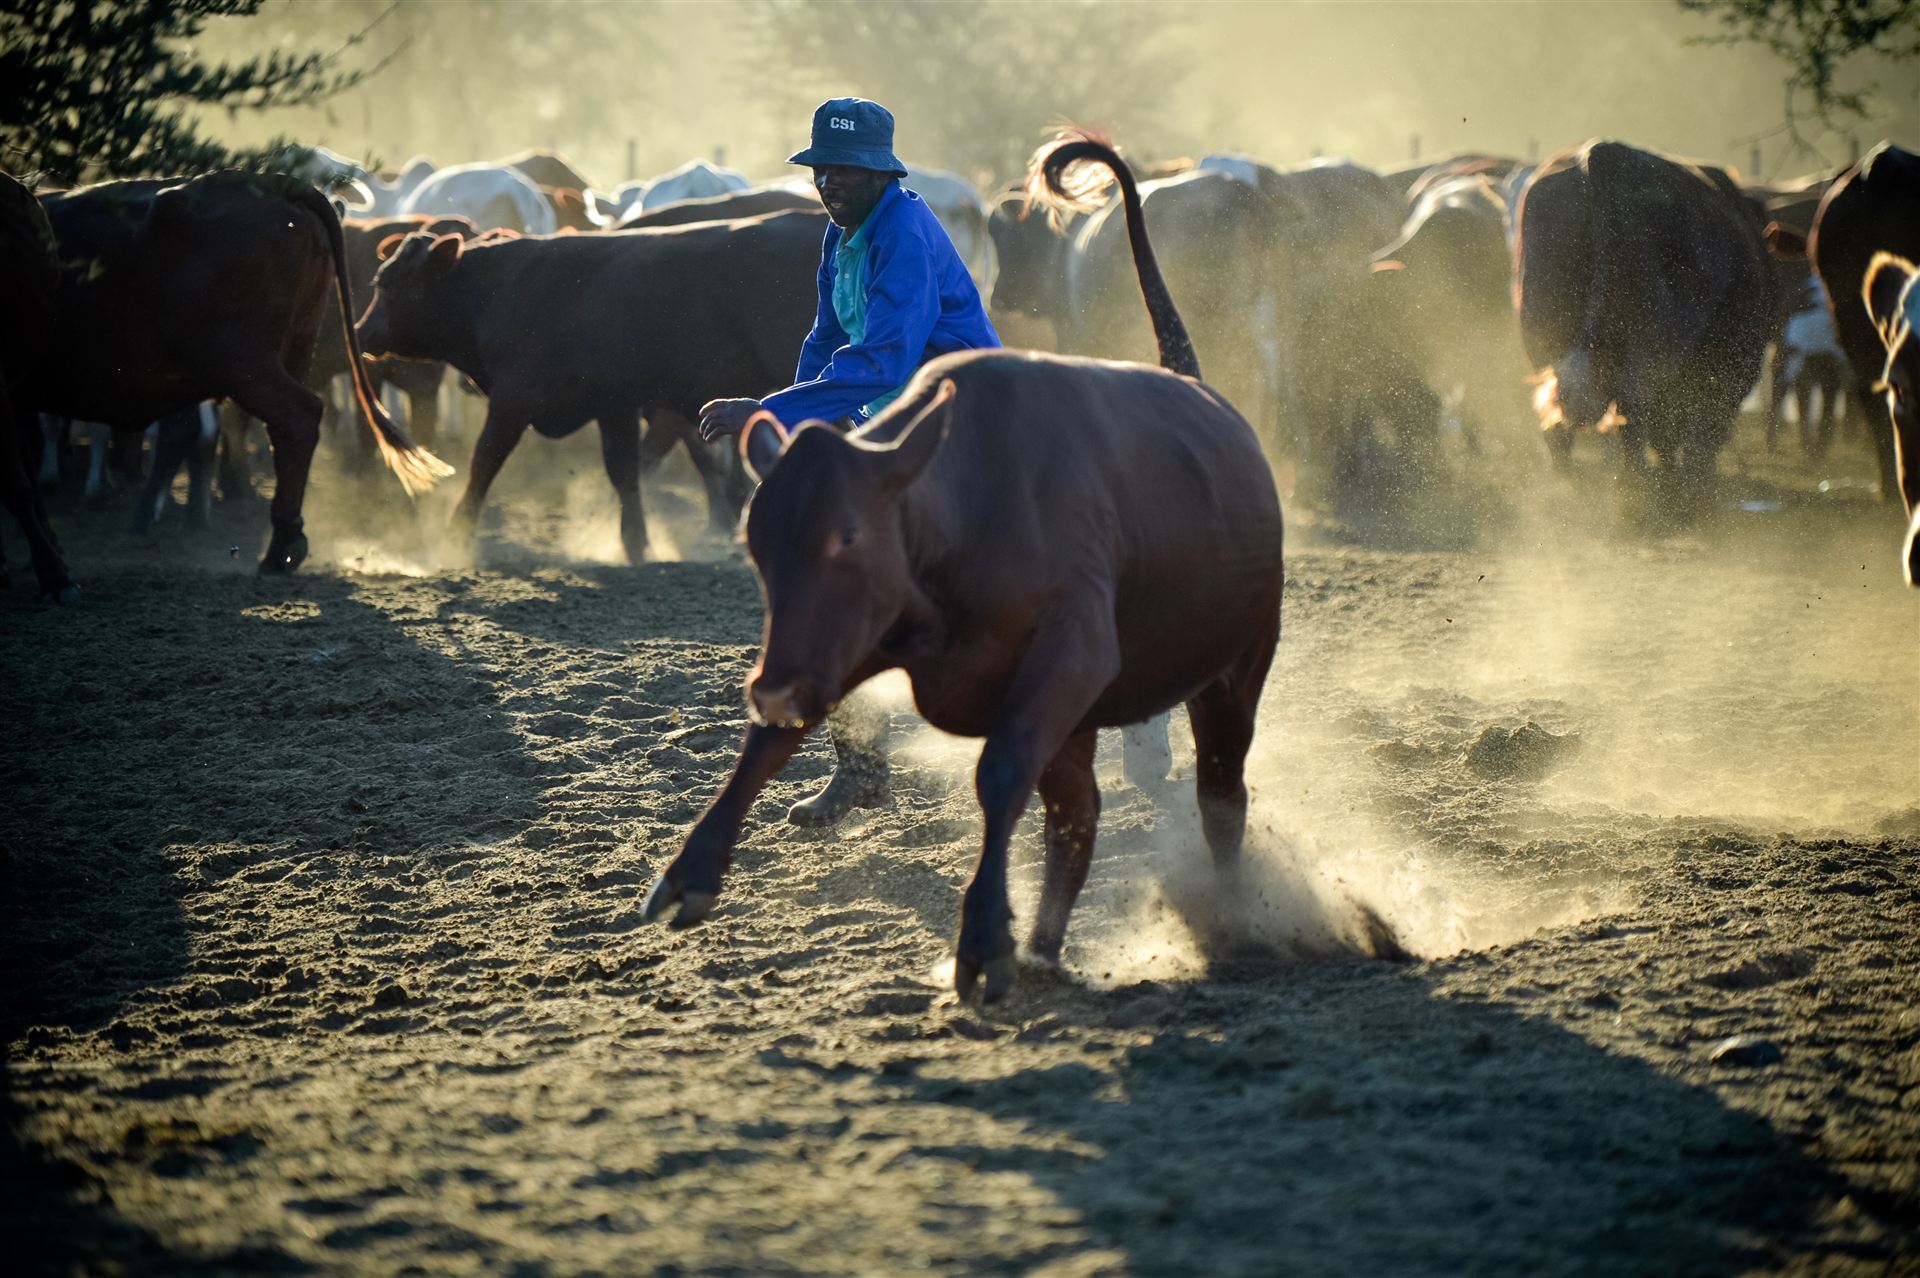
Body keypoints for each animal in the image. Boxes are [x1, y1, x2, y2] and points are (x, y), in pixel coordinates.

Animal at [355, 210, 830, 562]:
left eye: (386, 284)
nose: (360, 331)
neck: (499, 289)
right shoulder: (613, 404)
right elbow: (625, 471)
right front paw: (635, 542)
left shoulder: (513, 398)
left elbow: (484, 461)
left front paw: (456, 536)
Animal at [639, 131, 1285, 1004]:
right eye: (758, 542)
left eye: (849, 537)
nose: (769, 683)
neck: (957, 513)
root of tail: (1204, 394)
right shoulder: (845, 639)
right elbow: (774, 739)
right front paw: (690, 873)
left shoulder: (1067, 658)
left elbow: (1000, 776)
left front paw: (979, 943)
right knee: (1079, 813)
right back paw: (1044, 947)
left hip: (1235, 671)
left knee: (1219, 793)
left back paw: (1226, 906)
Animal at [1514, 141, 1775, 512]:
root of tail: (1602, 152)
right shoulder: (1729, 368)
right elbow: (1700, 436)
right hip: (1644, 354)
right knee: (1634, 422)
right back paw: (1634, 499)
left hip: (1544, 339)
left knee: (1558, 429)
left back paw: (1568, 494)